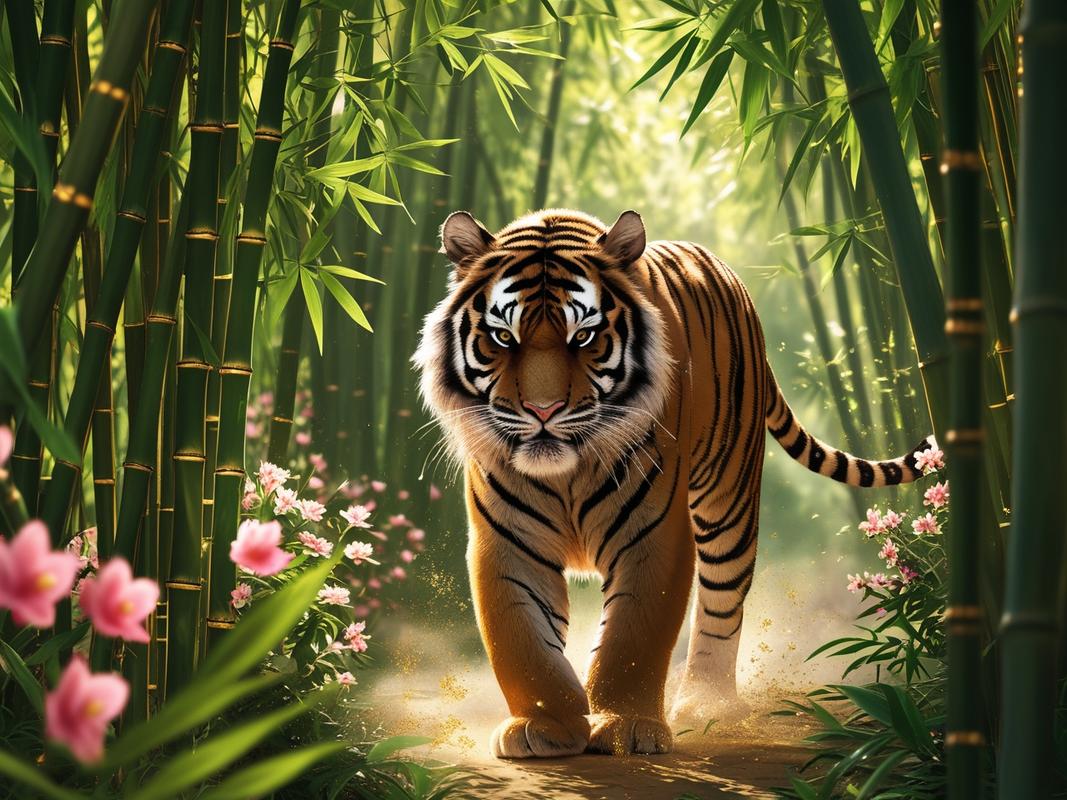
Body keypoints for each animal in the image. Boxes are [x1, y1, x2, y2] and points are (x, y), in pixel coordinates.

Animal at [413, 208, 933, 759]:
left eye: (583, 337)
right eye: (503, 338)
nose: (543, 410)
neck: (567, 471)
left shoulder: (655, 532)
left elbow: (632, 637)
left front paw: (624, 726)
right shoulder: (506, 542)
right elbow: (522, 638)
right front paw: (545, 724)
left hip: (729, 500)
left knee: (722, 603)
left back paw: (707, 704)